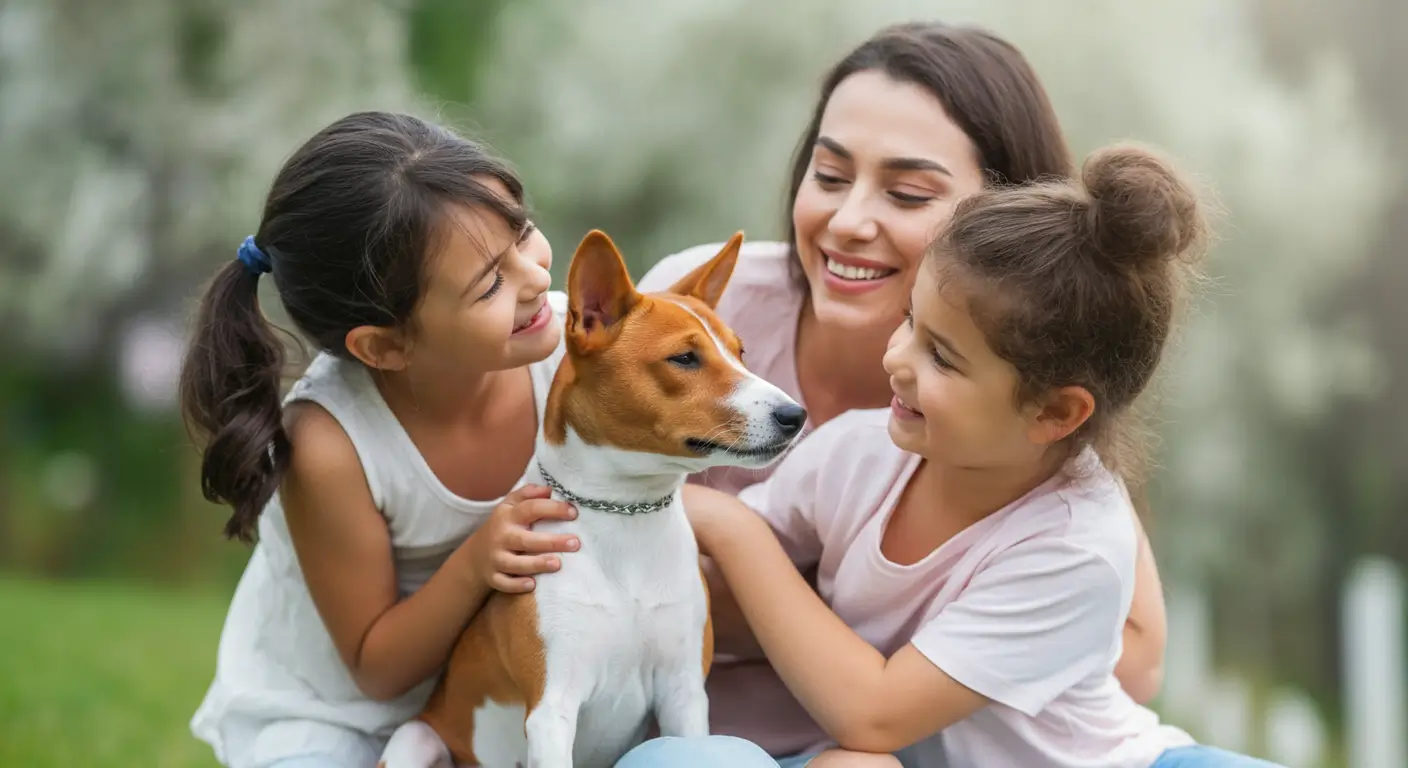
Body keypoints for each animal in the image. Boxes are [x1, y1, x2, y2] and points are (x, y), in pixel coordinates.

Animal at [380, 231, 811, 760]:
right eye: (684, 358)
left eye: (740, 351)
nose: (795, 414)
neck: (626, 514)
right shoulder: (552, 709)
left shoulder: (684, 693)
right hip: (416, 737)